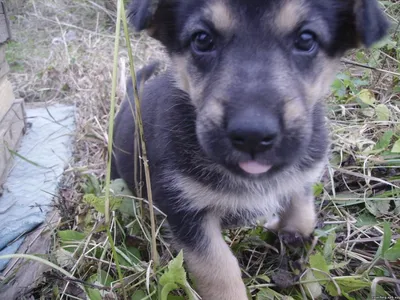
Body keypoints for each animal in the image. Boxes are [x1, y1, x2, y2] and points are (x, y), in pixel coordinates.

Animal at [111, 1, 390, 298]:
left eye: (306, 39)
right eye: (202, 39)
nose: (252, 136)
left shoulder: (301, 177)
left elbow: (302, 215)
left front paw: (282, 229)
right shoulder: (185, 210)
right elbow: (218, 270)